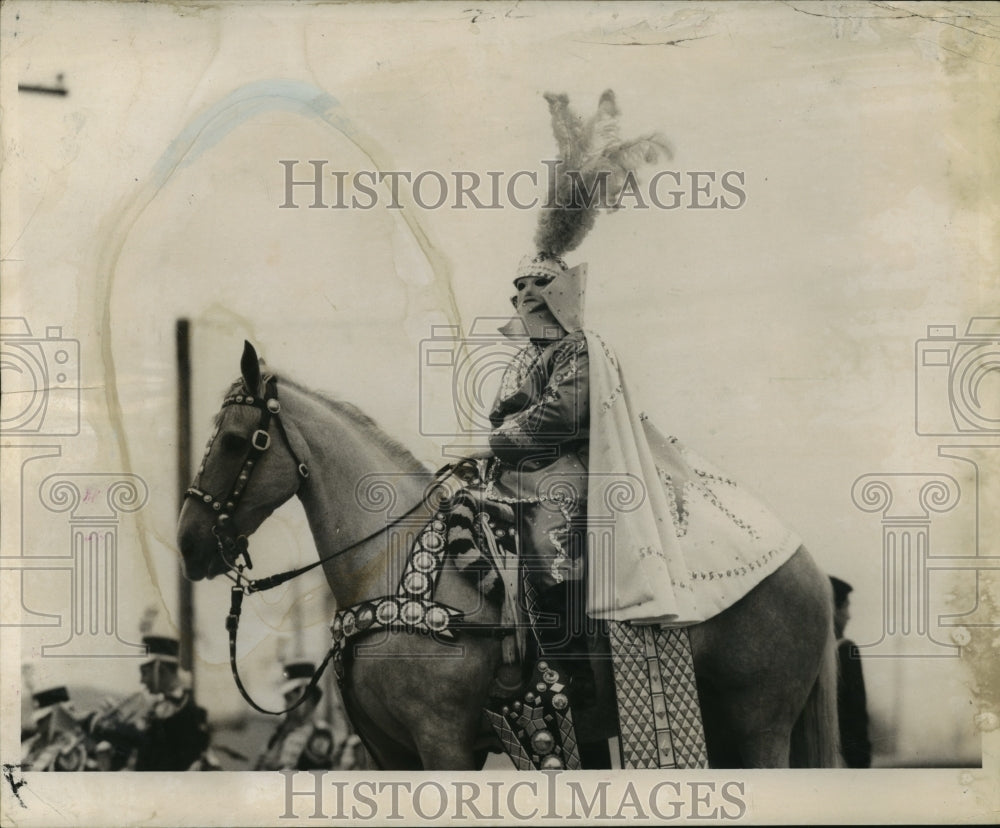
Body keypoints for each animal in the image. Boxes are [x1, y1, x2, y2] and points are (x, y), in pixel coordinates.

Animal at [176, 342, 840, 768]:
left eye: (235, 441)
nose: (188, 543)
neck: (393, 568)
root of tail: (807, 566)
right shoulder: (387, 752)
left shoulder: (442, 743)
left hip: (760, 725)